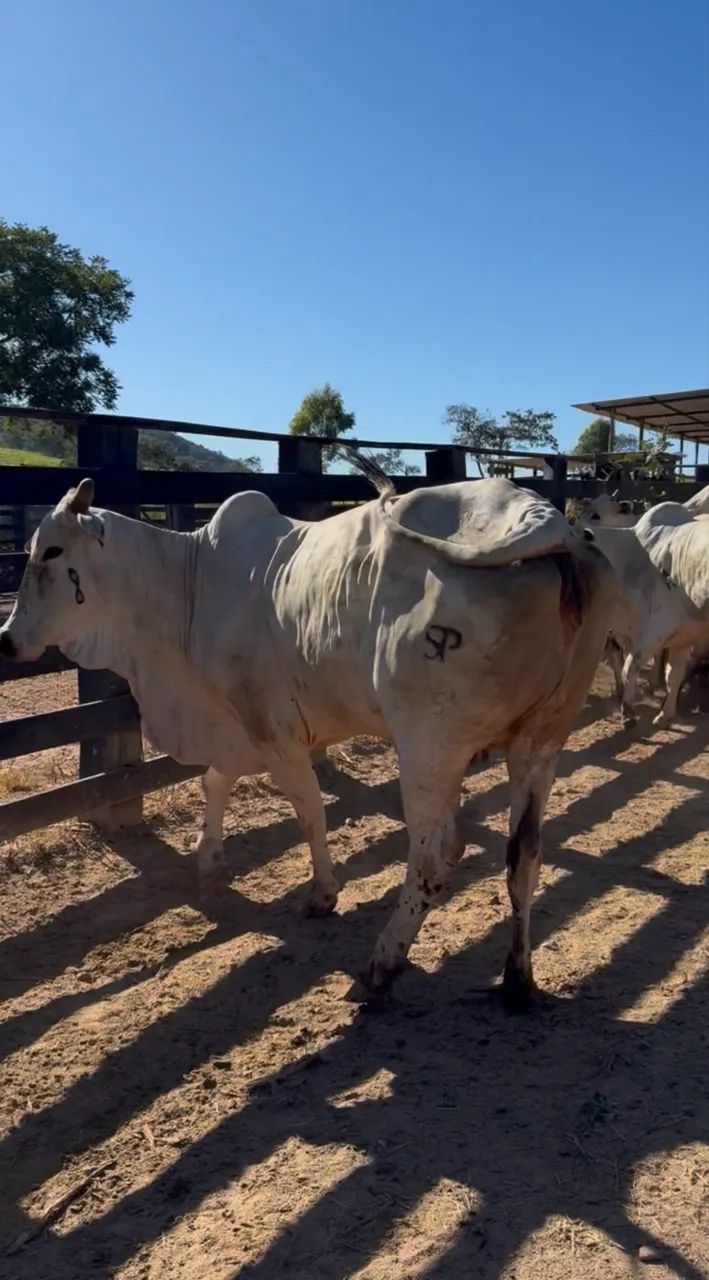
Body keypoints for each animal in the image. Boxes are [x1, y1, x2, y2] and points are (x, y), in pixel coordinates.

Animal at [0, 472, 615, 1008]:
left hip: (429, 746)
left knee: (434, 856)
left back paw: (380, 966)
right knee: (524, 854)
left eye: (51, 552)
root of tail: (546, 521)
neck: (188, 586)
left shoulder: (274, 730)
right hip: (540, 741)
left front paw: (322, 893)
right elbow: (215, 782)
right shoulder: (238, 727)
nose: (6, 640)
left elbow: (309, 813)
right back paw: (517, 978)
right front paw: (209, 860)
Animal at [588, 503, 709, 726]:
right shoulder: (658, 633)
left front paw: (661, 714)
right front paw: (631, 712)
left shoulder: (677, 636)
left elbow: (670, 676)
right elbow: (635, 666)